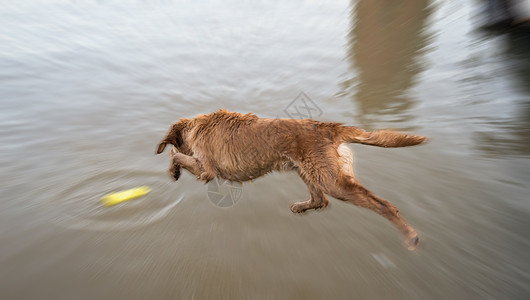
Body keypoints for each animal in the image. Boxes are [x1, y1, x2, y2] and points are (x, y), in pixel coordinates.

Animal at [156, 109, 424, 250]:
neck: (196, 126)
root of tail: (329, 127)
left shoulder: (206, 170)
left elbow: (176, 155)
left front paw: (173, 170)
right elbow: (177, 155)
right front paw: (173, 170)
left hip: (332, 181)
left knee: (384, 205)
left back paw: (410, 235)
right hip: (307, 171)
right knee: (320, 200)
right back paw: (300, 206)